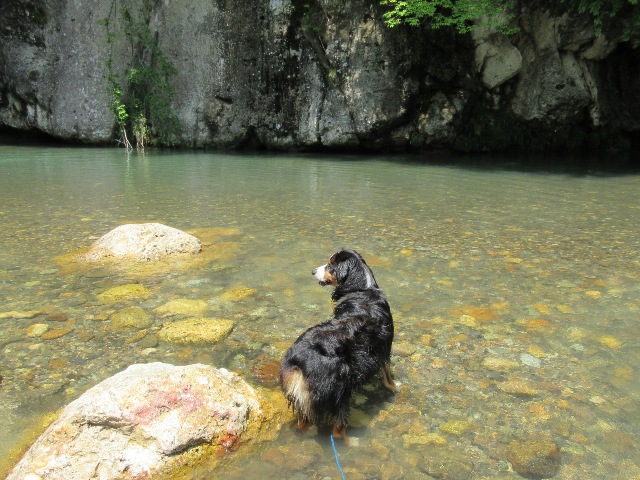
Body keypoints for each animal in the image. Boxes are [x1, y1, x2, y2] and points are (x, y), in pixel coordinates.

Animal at [278, 249, 396, 440]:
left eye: (330, 266)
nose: (312, 271)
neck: (362, 289)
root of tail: (298, 362)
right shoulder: (383, 350)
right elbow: (388, 376)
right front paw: (395, 387)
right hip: (337, 395)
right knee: (338, 430)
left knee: (303, 423)